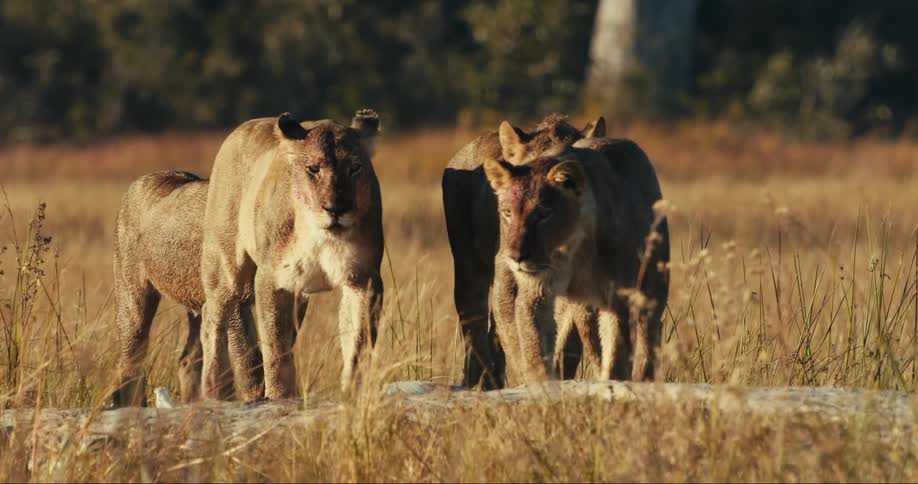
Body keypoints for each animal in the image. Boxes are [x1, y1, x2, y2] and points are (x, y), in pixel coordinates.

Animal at [200, 109, 382, 400]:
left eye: (355, 168)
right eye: (313, 169)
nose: (336, 209)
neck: (321, 235)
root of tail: (240, 129)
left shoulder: (364, 278)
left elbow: (359, 341)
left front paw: (352, 392)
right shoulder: (271, 279)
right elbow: (276, 347)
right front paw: (279, 395)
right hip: (227, 271)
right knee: (212, 316)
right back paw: (211, 388)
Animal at [442, 114, 606, 389]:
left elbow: (570, 341)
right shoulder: (506, 277)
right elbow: (516, 335)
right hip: (468, 267)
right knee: (475, 328)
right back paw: (478, 381)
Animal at [483, 136, 669, 383]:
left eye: (544, 214)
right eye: (507, 213)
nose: (516, 257)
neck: (573, 250)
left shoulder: (617, 296)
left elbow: (617, 353)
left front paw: (615, 383)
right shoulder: (536, 291)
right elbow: (535, 345)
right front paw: (542, 384)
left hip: (654, 284)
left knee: (649, 335)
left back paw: (644, 378)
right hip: (582, 309)